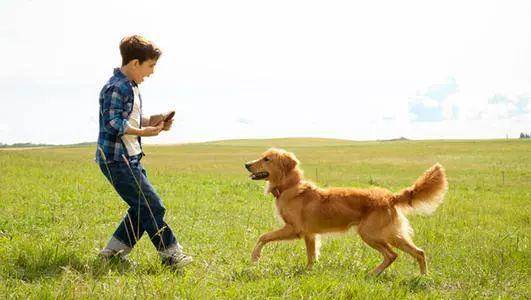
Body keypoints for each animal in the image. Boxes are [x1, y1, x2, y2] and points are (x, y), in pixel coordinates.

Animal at [245, 147, 448, 274]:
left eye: (266, 159)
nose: (246, 164)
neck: (290, 187)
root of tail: (390, 197)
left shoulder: (294, 229)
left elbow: (263, 237)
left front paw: (255, 257)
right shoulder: (310, 235)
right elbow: (311, 256)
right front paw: (308, 272)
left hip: (371, 234)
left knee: (392, 254)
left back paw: (373, 274)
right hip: (391, 234)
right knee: (418, 252)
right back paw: (422, 277)